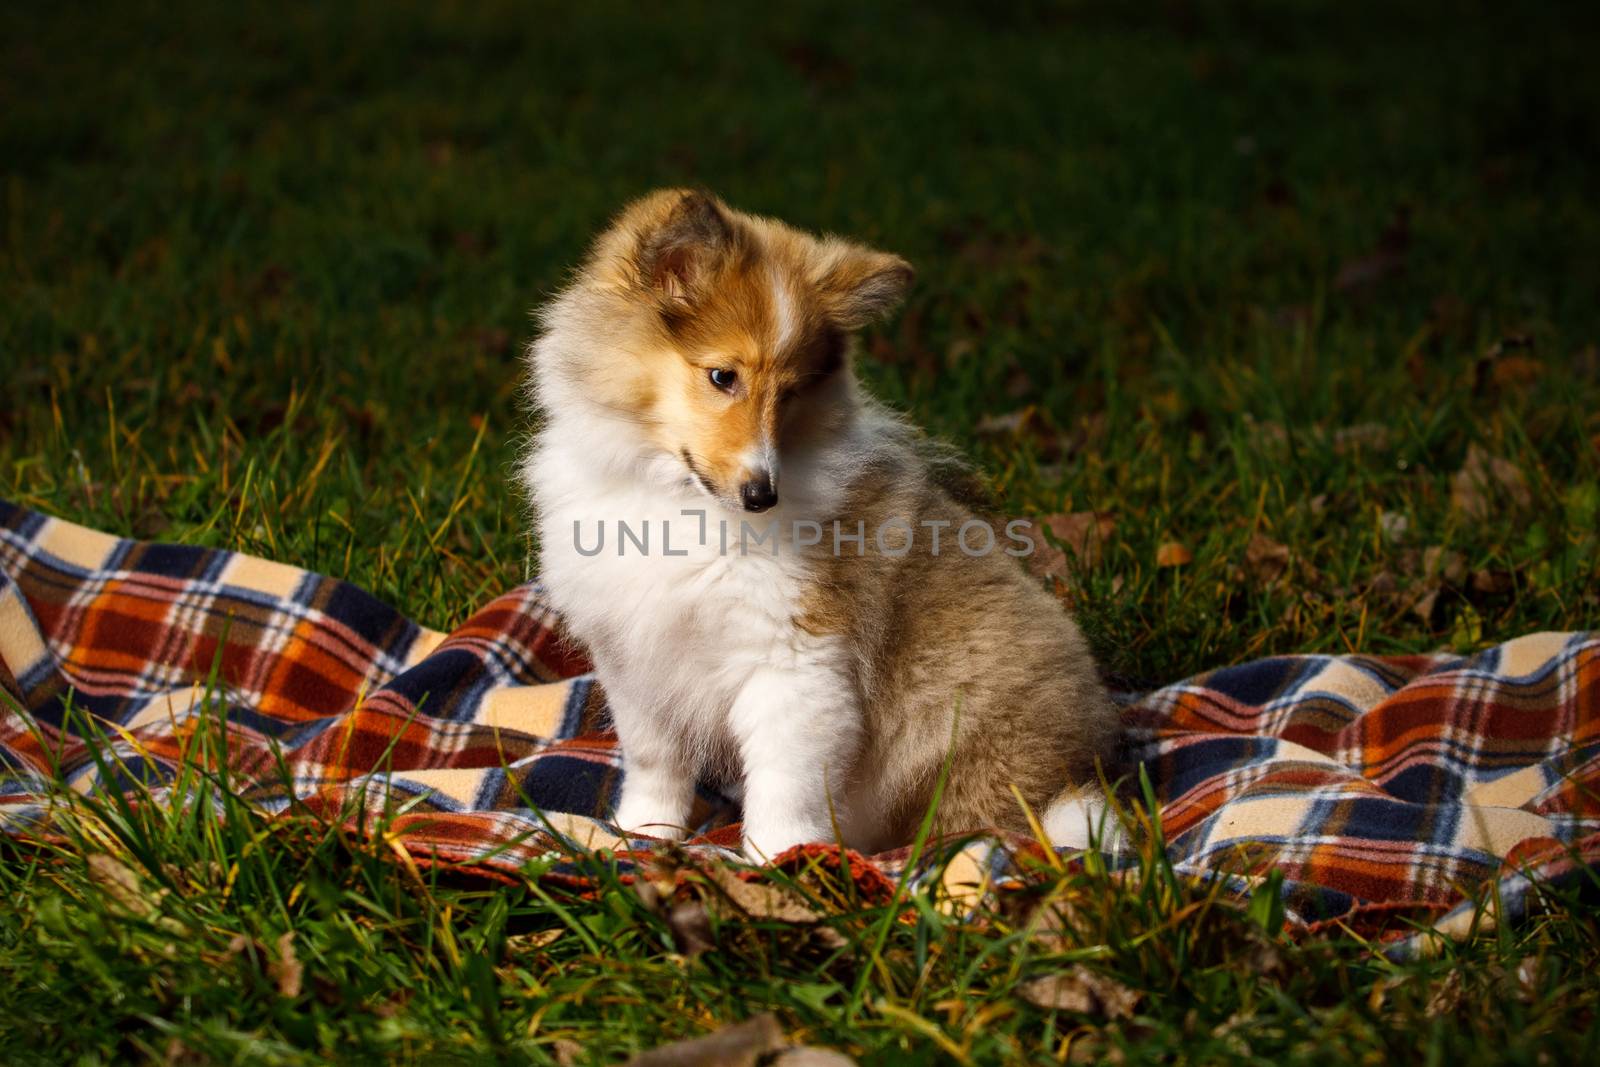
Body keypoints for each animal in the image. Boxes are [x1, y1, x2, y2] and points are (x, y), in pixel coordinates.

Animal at [518, 189, 1120, 857]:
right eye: (722, 376)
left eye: (792, 393)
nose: (762, 495)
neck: (676, 499)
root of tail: (1076, 767)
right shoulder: (634, 660)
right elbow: (656, 762)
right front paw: (639, 836)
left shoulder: (795, 658)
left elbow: (785, 782)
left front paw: (778, 860)